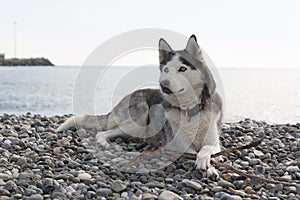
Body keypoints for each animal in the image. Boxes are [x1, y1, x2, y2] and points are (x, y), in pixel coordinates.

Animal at [57, 35, 224, 177]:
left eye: (182, 69)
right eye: (166, 69)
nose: (163, 85)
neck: (189, 110)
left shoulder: (214, 142)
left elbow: (206, 149)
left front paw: (208, 163)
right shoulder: (177, 145)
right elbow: (193, 152)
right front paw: (209, 167)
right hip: (140, 117)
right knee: (103, 131)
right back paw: (102, 141)